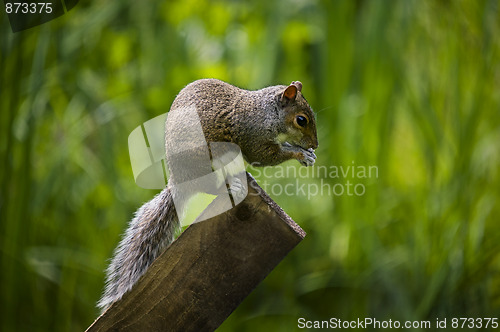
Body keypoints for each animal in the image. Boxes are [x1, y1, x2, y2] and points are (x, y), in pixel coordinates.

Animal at [96, 78, 318, 312]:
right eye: (301, 120)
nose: (315, 144)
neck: (265, 112)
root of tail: (178, 182)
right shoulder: (252, 134)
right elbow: (264, 156)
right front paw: (300, 153)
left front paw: (308, 155)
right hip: (207, 162)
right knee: (211, 186)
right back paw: (232, 186)